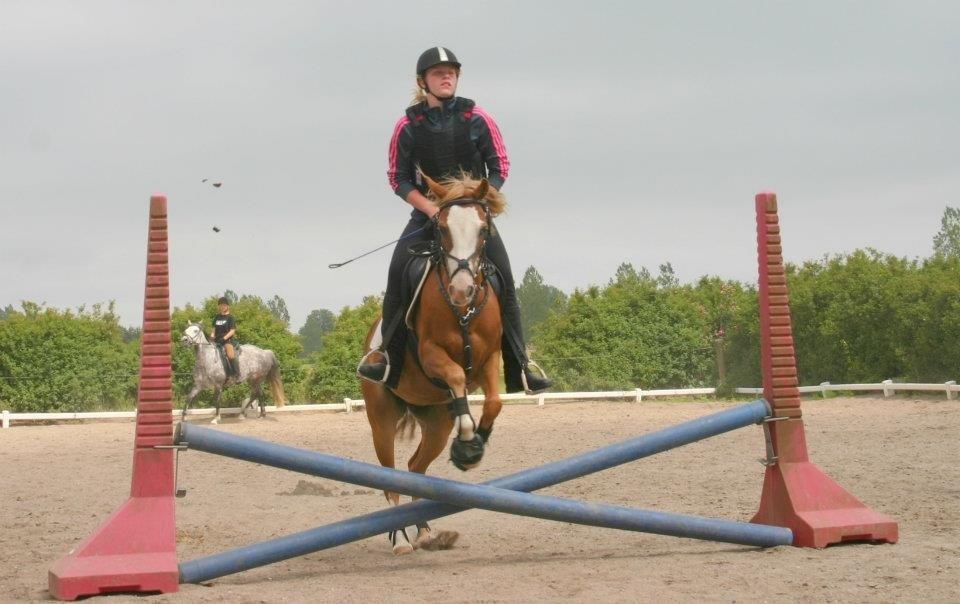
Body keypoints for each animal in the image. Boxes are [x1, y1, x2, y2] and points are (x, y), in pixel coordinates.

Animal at [360, 172, 506, 556]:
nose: (461, 291)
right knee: (391, 476)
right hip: (381, 419)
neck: (462, 313)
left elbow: (495, 401)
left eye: (483, 230)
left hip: (436, 423)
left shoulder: (490, 359)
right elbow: (454, 375)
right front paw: (468, 437)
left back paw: (425, 531)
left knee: (415, 467)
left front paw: (475, 444)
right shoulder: (431, 355)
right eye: (441, 229)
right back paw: (400, 539)